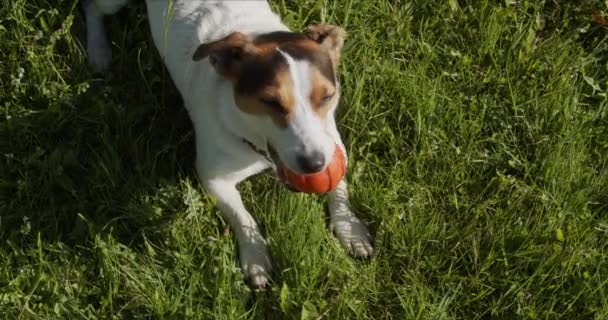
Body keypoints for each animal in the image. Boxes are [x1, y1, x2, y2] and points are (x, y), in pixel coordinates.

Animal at [83, 0, 372, 288]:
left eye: (327, 96)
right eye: (270, 101)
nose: (314, 164)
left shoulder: (334, 146)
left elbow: (339, 187)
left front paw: (350, 229)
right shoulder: (213, 179)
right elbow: (243, 216)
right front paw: (256, 257)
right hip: (113, 4)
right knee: (93, 9)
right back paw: (98, 51)